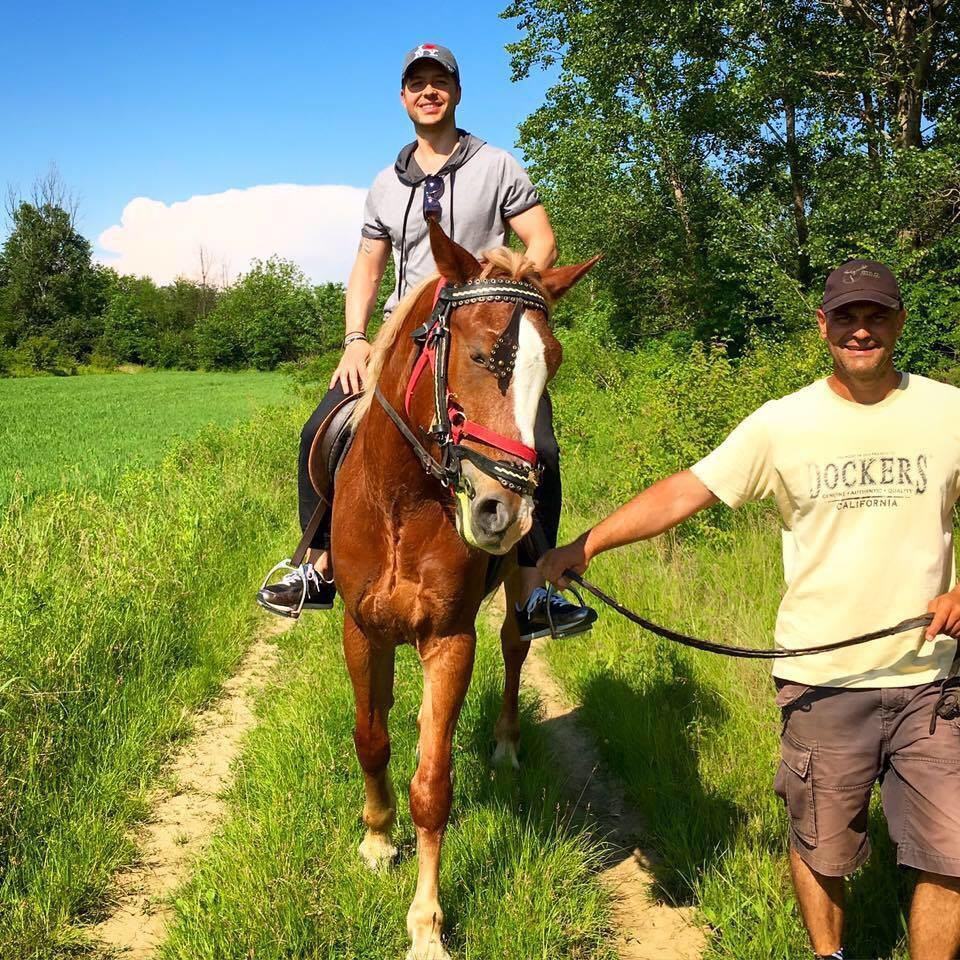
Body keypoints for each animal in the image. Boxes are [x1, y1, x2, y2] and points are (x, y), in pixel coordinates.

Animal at [334, 221, 596, 956]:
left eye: (552, 362)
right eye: (480, 355)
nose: (504, 512)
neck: (401, 502)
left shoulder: (449, 640)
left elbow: (433, 785)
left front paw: (426, 924)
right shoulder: (362, 630)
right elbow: (372, 737)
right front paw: (376, 839)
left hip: (511, 601)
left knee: (513, 646)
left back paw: (506, 744)